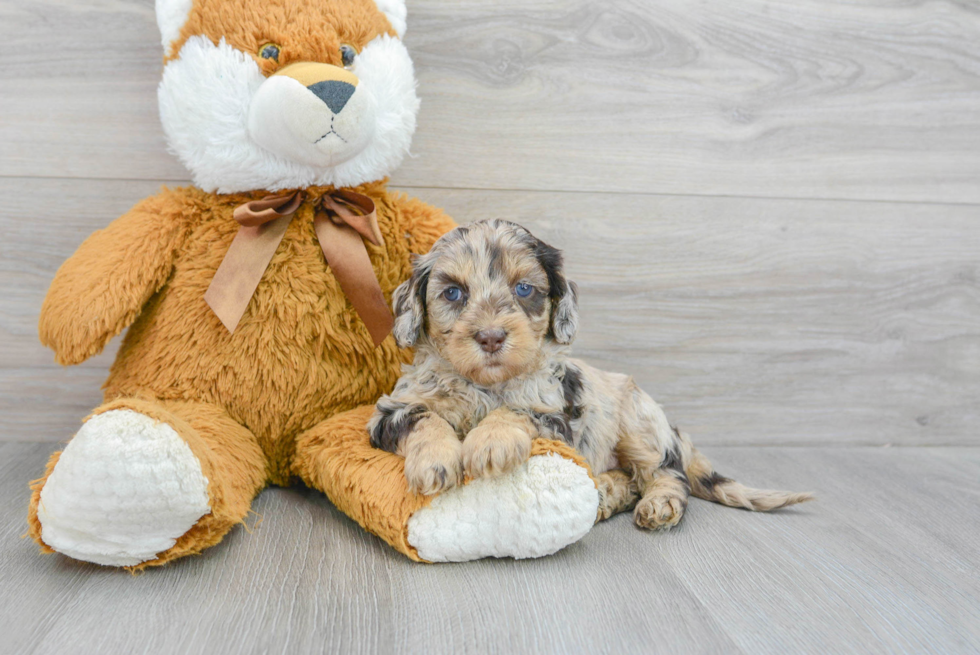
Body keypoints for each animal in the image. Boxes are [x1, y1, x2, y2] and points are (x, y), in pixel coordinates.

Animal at [368, 220, 812, 528]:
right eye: (453, 293)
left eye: (524, 289)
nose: (491, 336)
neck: (486, 386)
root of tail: (674, 430)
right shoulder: (389, 412)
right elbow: (425, 418)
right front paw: (435, 461)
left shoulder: (556, 417)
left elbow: (515, 410)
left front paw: (490, 443)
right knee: (631, 480)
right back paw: (606, 493)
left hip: (639, 424)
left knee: (666, 472)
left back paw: (658, 504)